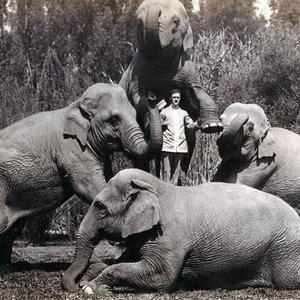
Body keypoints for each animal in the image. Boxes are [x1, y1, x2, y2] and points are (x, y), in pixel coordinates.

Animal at [0, 82, 162, 270]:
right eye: (114, 119)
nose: (151, 96)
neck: (76, 104)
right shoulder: (72, 149)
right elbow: (90, 189)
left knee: (11, 229)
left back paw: (6, 269)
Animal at [62, 169, 300, 292]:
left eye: (100, 207)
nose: (73, 286)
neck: (160, 188)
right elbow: (125, 259)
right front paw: (88, 280)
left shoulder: (169, 237)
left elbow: (162, 276)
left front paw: (90, 288)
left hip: (285, 248)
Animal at [119, 0, 223, 173]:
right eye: (139, 23)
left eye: (175, 22)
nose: (155, 98)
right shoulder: (137, 74)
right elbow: (138, 98)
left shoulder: (188, 69)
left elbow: (198, 92)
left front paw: (213, 126)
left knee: (188, 148)